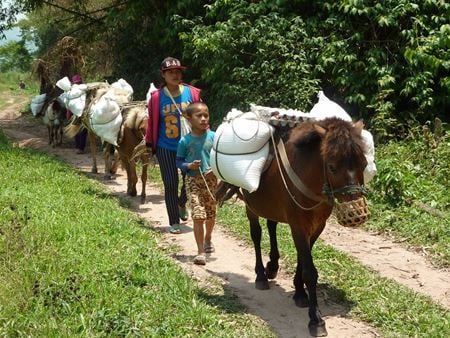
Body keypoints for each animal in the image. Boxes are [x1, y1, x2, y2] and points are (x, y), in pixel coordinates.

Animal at [217, 117, 370, 336]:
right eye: (332, 167)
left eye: (364, 164)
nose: (358, 214)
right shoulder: (298, 225)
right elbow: (310, 272)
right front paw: (316, 320)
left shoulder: (317, 226)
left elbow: (301, 260)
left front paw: (299, 293)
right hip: (251, 207)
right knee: (256, 235)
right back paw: (261, 275)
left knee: (271, 225)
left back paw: (272, 266)